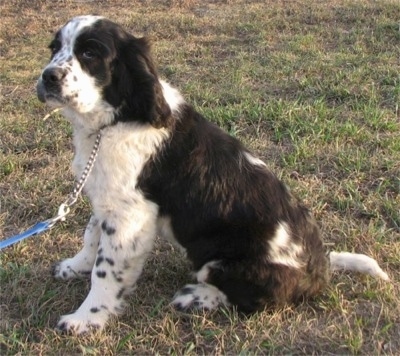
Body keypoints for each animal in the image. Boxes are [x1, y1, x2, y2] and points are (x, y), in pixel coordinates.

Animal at [36, 16, 390, 334]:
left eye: (90, 53)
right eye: (54, 48)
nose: (48, 77)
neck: (117, 117)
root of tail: (320, 270)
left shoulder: (129, 217)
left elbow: (106, 271)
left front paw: (86, 319)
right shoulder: (106, 196)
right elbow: (91, 234)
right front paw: (75, 266)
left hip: (224, 264)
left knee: (256, 301)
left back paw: (196, 298)